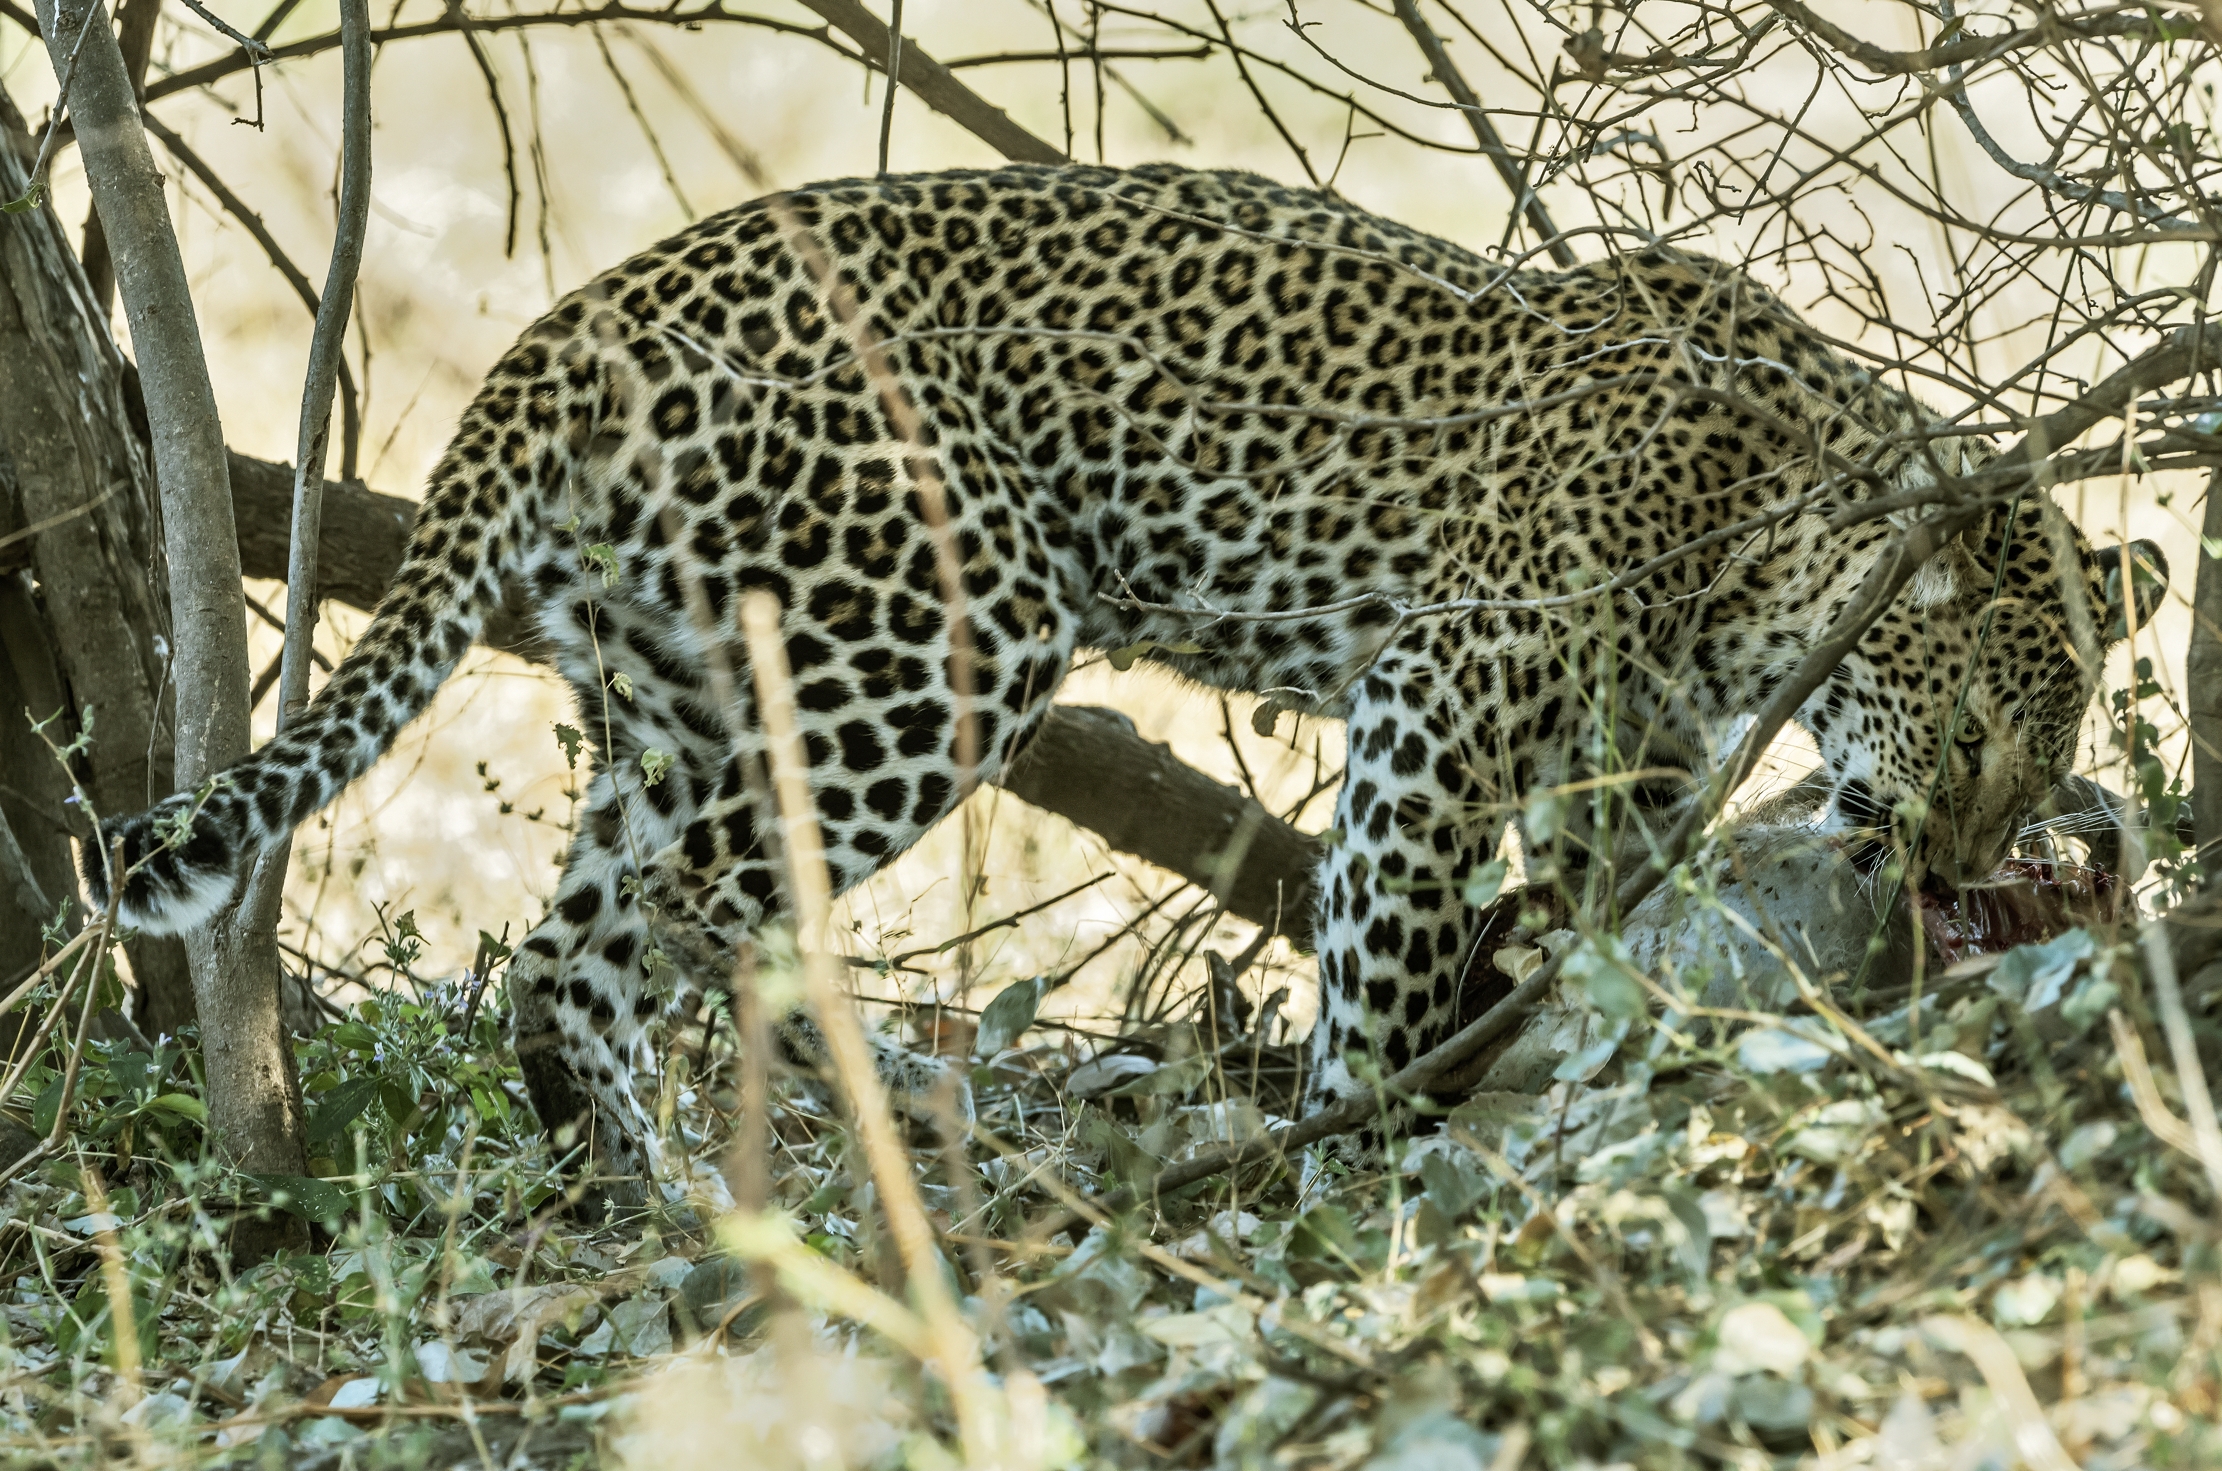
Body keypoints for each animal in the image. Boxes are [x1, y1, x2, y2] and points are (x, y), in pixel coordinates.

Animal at [84, 161, 2163, 1208]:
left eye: (2035, 753)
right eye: (1971, 732)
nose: (1962, 868)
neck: (1759, 531)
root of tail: (576, 321)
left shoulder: (1619, 761)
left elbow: (1589, 906)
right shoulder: (1438, 695)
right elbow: (1385, 952)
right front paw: (1350, 1161)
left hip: (682, 687)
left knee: (572, 945)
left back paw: (653, 1194)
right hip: (933, 631)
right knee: (702, 916)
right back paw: (826, 1152)